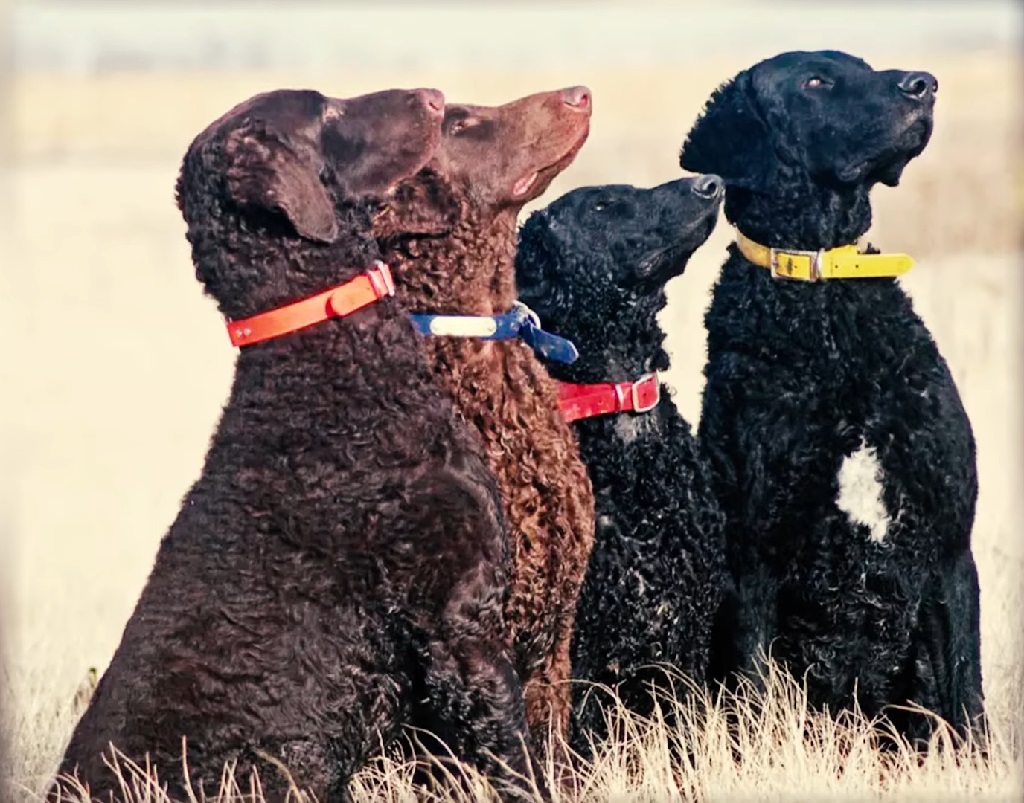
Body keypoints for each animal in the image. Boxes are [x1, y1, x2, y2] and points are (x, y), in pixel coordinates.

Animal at [679, 50, 983, 745]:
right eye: (815, 81)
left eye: (864, 66)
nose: (925, 84)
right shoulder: (754, 559)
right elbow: (755, 698)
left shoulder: (950, 545)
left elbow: (968, 698)